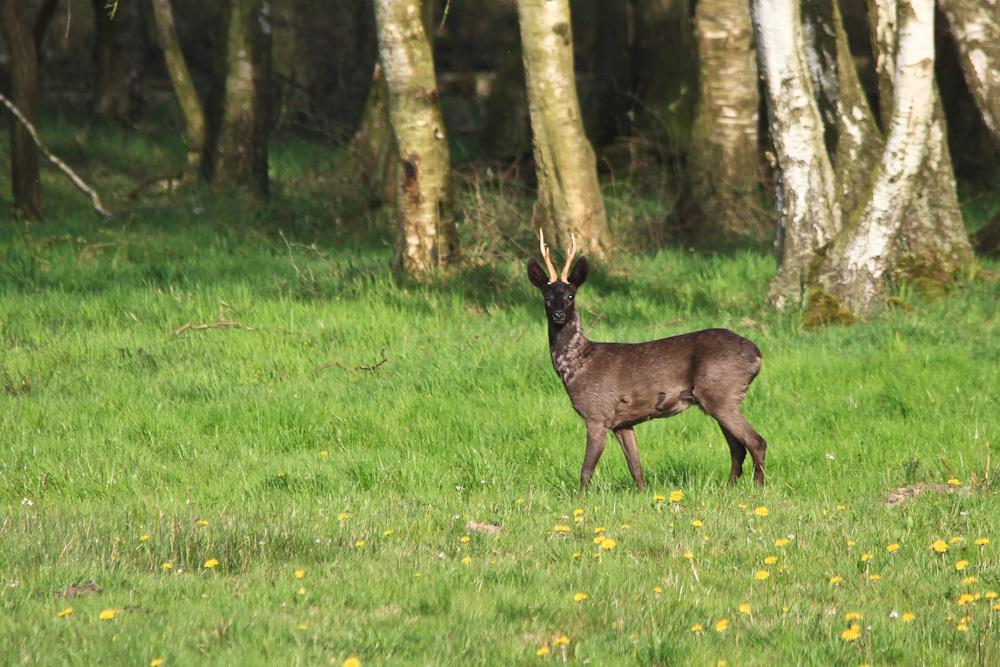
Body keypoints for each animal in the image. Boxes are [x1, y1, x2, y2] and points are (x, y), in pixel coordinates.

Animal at [528, 232, 768, 494]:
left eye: (571, 295)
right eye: (547, 297)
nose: (559, 315)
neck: (577, 365)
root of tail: (757, 354)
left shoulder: (597, 413)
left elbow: (586, 469)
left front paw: (580, 499)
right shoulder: (622, 422)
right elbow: (635, 467)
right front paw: (644, 494)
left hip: (721, 392)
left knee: (756, 442)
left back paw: (758, 489)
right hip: (720, 398)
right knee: (738, 448)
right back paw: (729, 489)